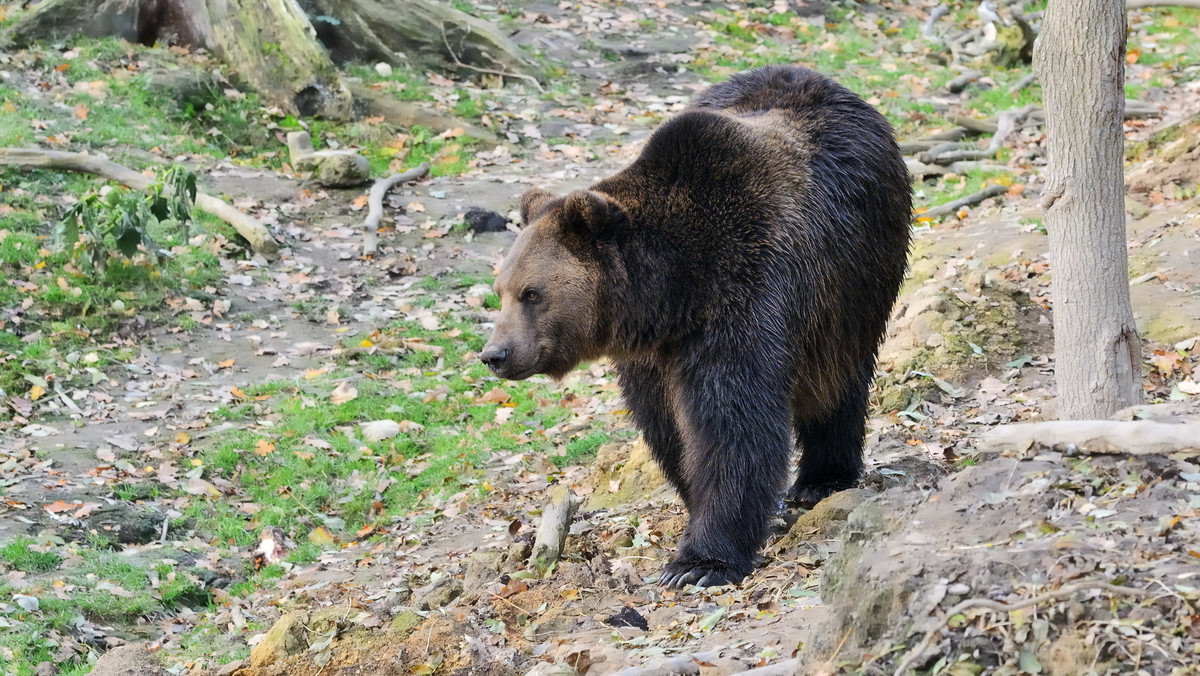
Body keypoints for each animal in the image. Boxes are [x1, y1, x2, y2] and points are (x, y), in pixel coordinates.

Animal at [477, 66, 907, 590]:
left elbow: (733, 423)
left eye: (532, 293)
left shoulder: (749, 292)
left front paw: (699, 562)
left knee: (840, 373)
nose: (495, 354)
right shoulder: (653, 352)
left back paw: (822, 478)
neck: (675, 290)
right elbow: (669, 426)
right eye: (500, 290)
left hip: (858, 272)